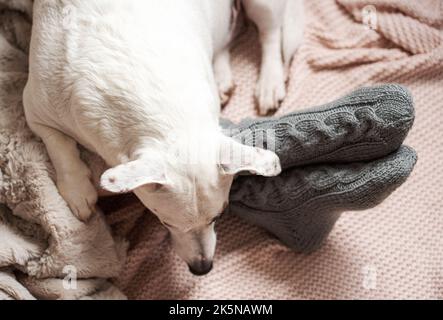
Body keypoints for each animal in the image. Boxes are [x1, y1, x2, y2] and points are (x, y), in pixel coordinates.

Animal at [24, 0, 306, 276]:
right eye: (165, 221)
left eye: (219, 216)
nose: (202, 268)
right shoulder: (35, 109)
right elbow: (59, 145)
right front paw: (77, 190)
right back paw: (223, 75)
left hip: (263, 7)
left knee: (270, 33)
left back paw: (270, 82)